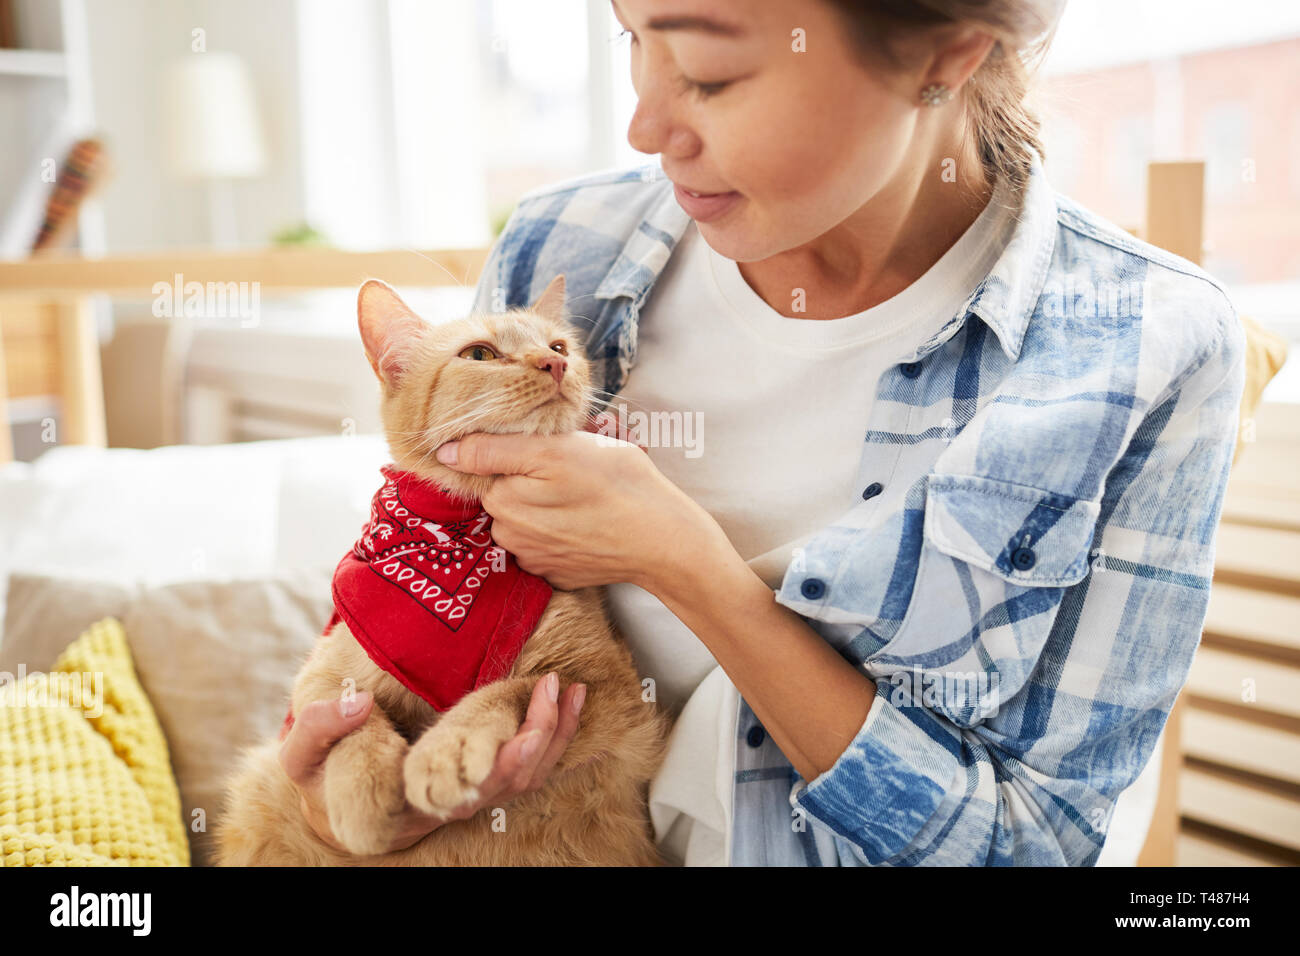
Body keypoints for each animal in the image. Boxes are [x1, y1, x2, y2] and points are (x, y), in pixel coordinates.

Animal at [214, 274, 670, 868]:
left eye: (558, 346)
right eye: (480, 354)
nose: (554, 365)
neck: (462, 538)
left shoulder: (611, 688)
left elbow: (511, 689)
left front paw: (449, 748)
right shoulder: (323, 671)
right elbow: (348, 712)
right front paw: (363, 789)